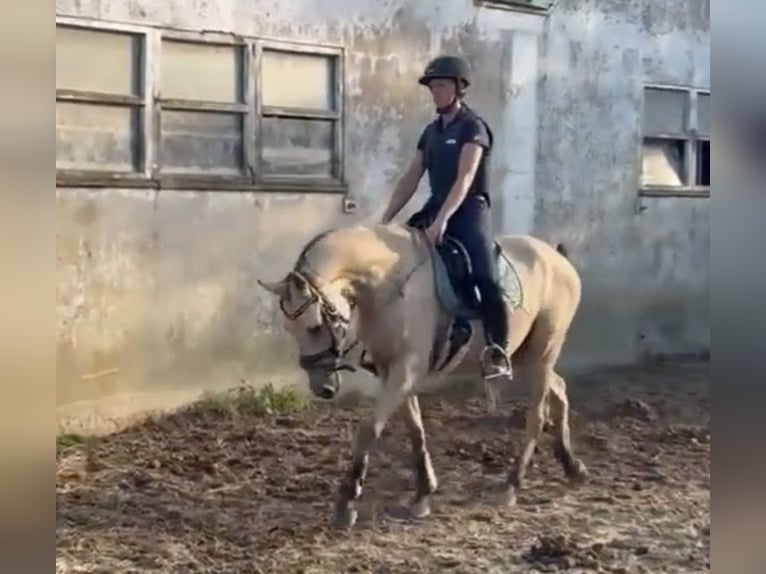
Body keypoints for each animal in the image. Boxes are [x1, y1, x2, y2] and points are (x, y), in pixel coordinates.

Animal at [258, 223, 588, 528]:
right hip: (527, 358)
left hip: (543, 354)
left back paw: (512, 485)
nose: (321, 388)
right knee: (560, 388)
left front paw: (346, 503)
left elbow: (368, 430)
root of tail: (557, 257)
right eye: (289, 328)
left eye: (314, 327)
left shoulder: (405, 370)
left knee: (537, 416)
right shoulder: (394, 371)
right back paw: (573, 467)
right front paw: (423, 495)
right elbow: (415, 430)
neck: (387, 282)